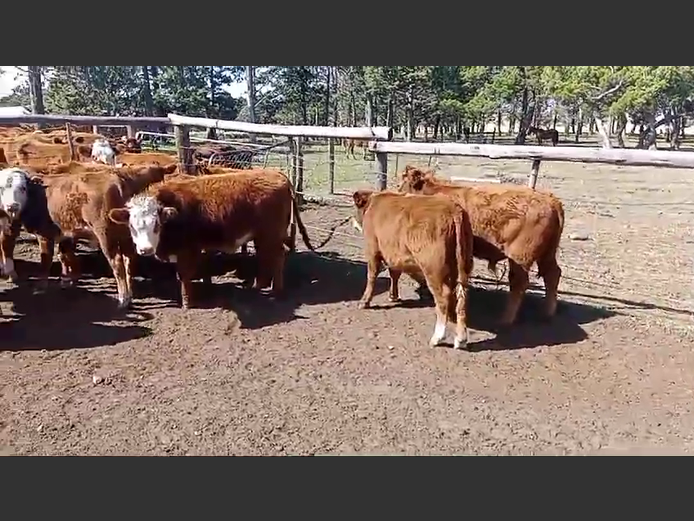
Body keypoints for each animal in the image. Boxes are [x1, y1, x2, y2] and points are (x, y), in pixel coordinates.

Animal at [109, 169, 316, 306]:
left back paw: (277, 290)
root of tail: (277, 174)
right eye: (132, 226)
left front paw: (187, 302)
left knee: (277, 257)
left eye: (156, 224)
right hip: (262, 235)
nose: (145, 250)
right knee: (266, 256)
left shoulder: (187, 248)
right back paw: (260, 285)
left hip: (272, 233)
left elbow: (184, 275)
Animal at [354, 189, 474, 348]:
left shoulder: (373, 248)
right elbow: (394, 274)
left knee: (444, 296)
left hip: (433, 268)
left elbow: (371, 276)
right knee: (461, 295)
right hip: (463, 265)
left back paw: (437, 337)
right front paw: (393, 296)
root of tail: (453, 209)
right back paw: (460, 338)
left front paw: (364, 301)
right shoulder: (394, 254)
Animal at [402, 165, 564, 324]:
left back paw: (505, 319)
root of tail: (550, 200)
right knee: (552, 274)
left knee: (519, 282)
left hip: (520, 258)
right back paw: (547, 313)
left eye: (401, 184)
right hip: (547, 254)